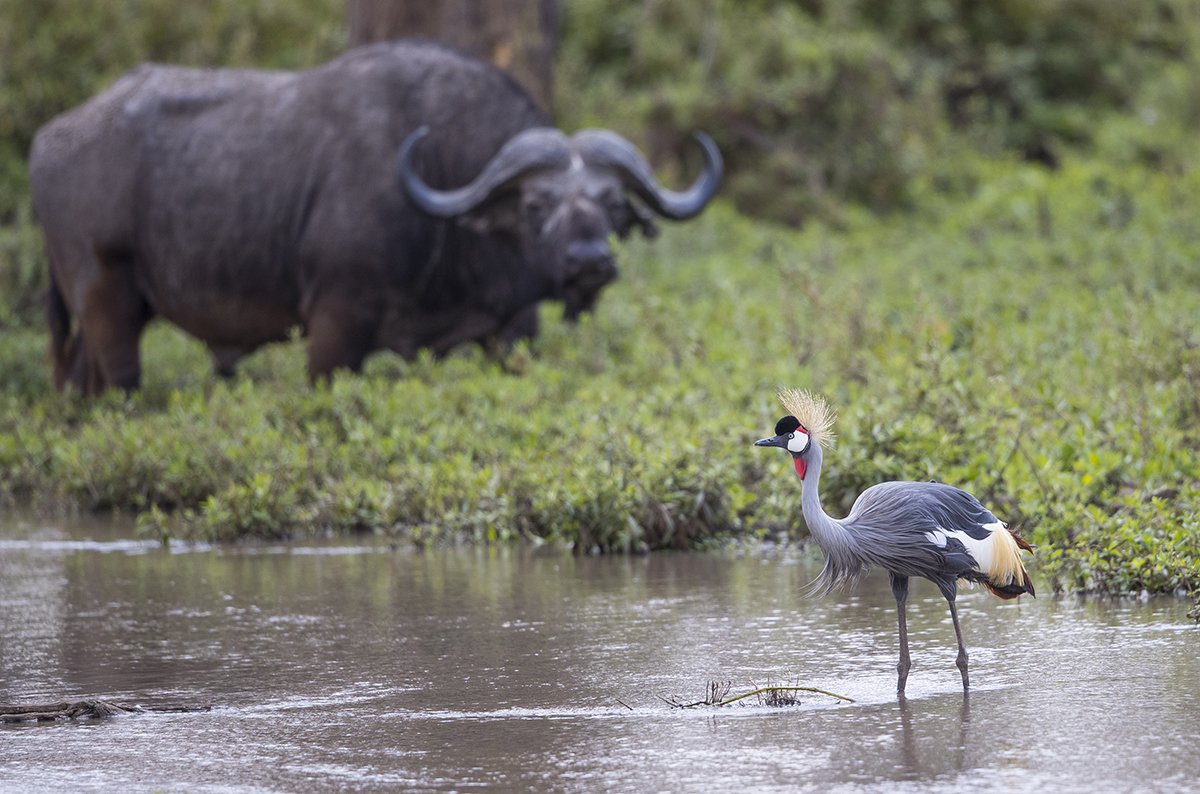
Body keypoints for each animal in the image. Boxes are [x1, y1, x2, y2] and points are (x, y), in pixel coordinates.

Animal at [30, 40, 720, 395]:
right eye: (535, 203)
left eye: (612, 202)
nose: (589, 262)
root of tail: (50, 138)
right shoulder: (335, 324)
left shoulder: (511, 329)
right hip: (106, 296)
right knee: (120, 379)